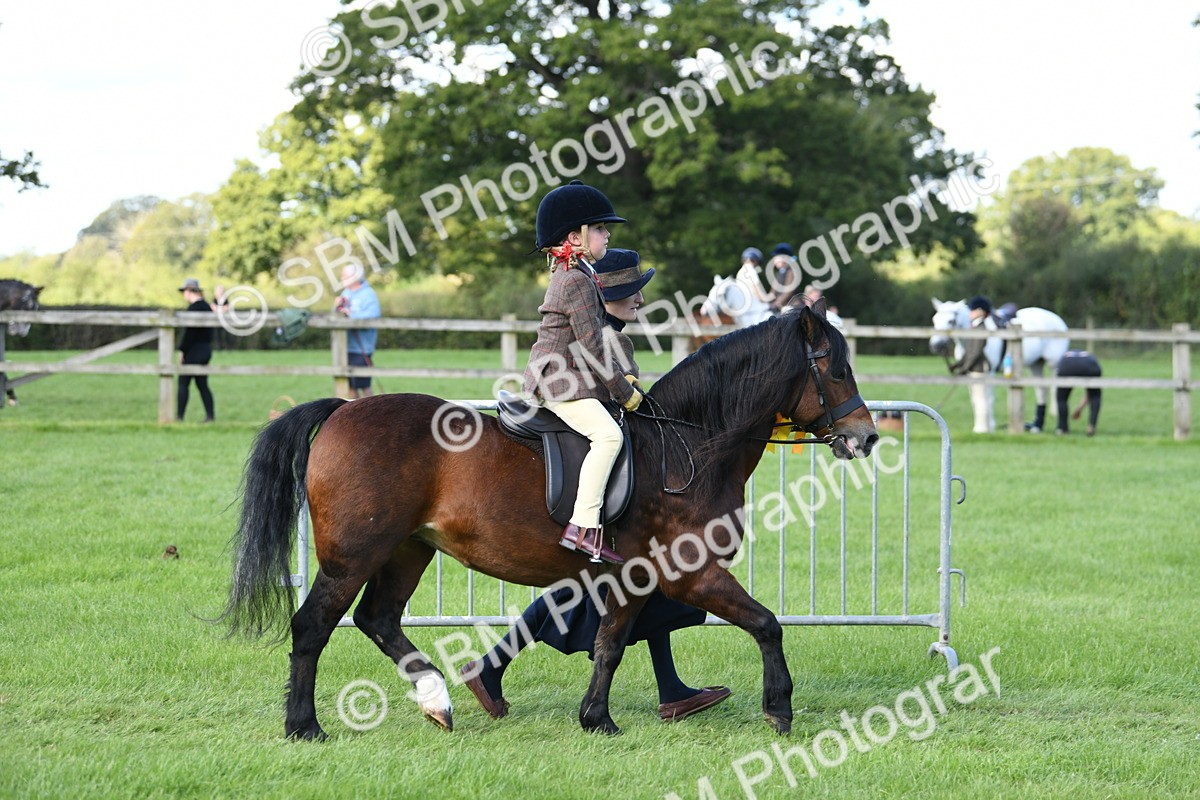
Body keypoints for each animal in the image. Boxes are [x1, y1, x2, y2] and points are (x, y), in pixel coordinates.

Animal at [223, 299, 878, 740]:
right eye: (835, 369)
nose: (866, 437)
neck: (686, 446)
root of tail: (343, 410)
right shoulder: (688, 573)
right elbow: (767, 624)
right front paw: (780, 708)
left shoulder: (631, 578)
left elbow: (611, 643)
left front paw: (597, 718)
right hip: (354, 555)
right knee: (313, 626)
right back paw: (304, 726)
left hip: (409, 549)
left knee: (378, 620)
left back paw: (439, 700)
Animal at [928, 297, 1069, 433]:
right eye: (935, 319)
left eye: (950, 321)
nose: (936, 346)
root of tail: (1058, 320)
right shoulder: (969, 372)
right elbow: (974, 399)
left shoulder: (987, 372)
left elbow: (988, 399)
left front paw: (987, 427)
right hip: (1036, 365)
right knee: (1042, 390)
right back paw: (1037, 426)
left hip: (1055, 364)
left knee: (1057, 390)